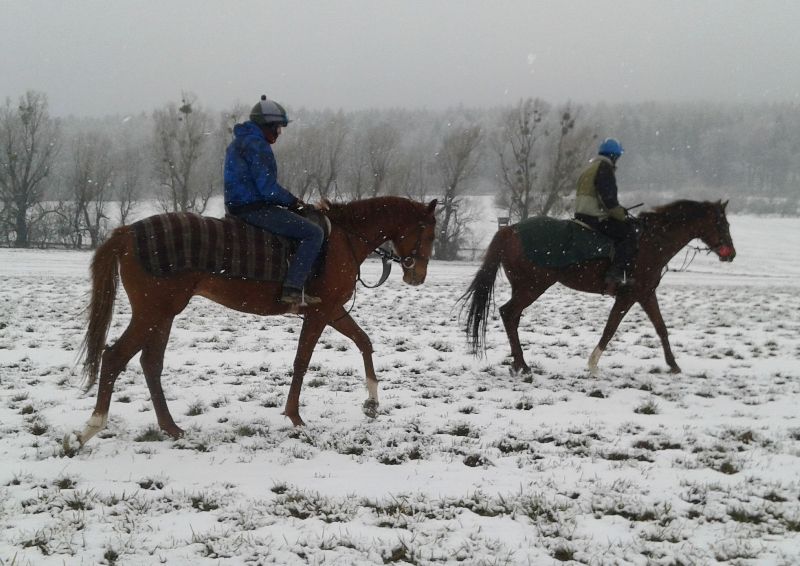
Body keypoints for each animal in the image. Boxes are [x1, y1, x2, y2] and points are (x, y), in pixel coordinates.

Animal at [76, 197, 438, 446]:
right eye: (430, 234)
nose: (418, 276)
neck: (343, 240)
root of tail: (127, 232)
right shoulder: (320, 314)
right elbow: (302, 361)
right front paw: (295, 416)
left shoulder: (333, 311)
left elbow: (364, 342)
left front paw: (372, 402)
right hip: (153, 313)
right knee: (114, 357)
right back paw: (92, 427)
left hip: (162, 315)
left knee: (150, 363)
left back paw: (171, 427)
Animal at [462, 201, 736, 378]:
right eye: (722, 223)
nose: (731, 254)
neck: (651, 242)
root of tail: (510, 230)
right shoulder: (629, 296)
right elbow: (610, 328)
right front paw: (593, 364)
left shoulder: (646, 294)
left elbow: (661, 328)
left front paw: (673, 364)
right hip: (532, 287)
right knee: (509, 313)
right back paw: (522, 364)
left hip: (523, 287)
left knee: (512, 317)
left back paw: (518, 363)